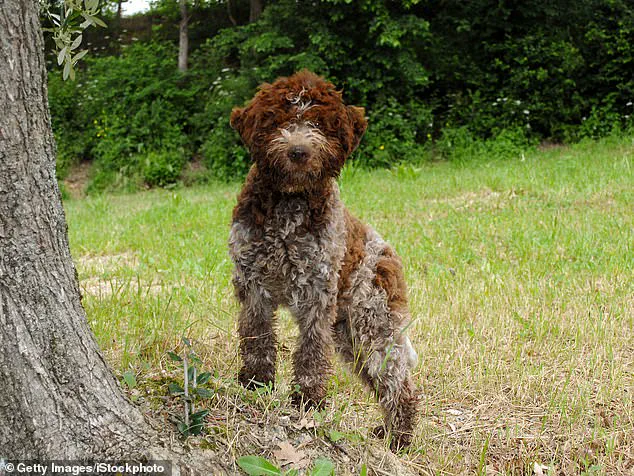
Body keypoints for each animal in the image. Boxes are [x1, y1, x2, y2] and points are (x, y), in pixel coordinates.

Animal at [230, 70, 418, 450]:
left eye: (318, 123)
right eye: (279, 121)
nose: (298, 152)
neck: (290, 203)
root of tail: (389, 253)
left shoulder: (316, 292)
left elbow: (311, 349)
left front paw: (307, 400)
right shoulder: (253, 284)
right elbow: (257, 336)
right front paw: (256, 383)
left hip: (373, 323)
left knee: (399, 382)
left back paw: (399, 439)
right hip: (349, 334)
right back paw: (389, 432)